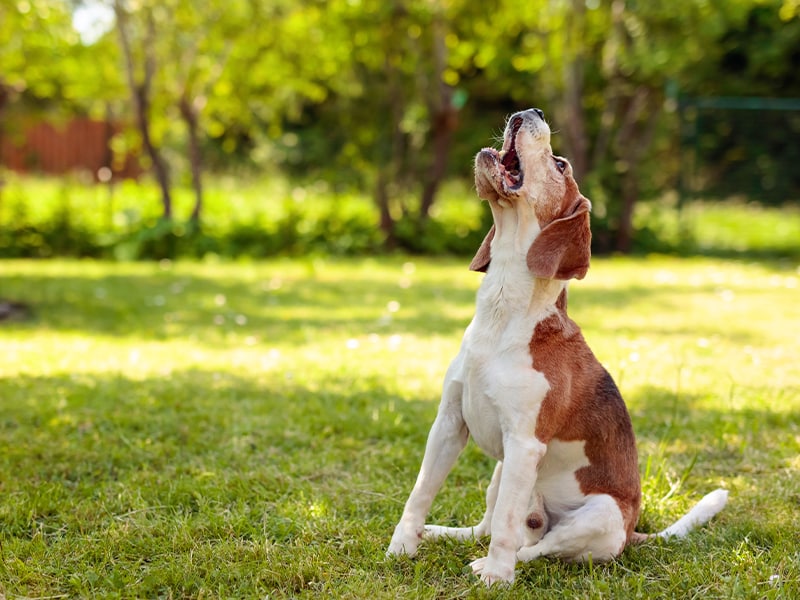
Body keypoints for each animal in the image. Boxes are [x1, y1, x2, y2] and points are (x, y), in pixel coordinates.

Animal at [384, 109, 728, 584]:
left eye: (561, 165)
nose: (531, 112)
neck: (501, 313)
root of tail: (631, 533)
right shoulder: (449, 424)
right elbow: (419, 494)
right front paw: (402, 546)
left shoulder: (525, 443)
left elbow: (506, 528)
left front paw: (496, 577)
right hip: (500, 471)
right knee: (487, 527)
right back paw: (438, 534)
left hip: (596, 512)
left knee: (534, 547)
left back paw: (493, 564)